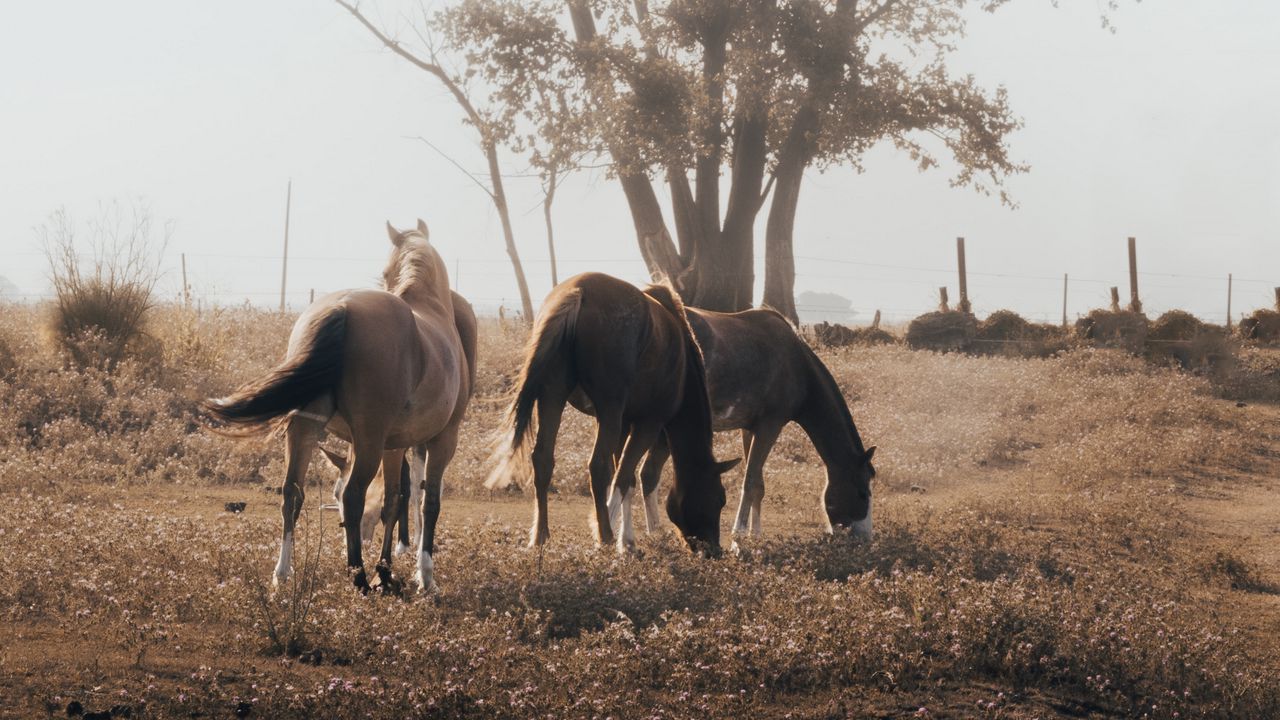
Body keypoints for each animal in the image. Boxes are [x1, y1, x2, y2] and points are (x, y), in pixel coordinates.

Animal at [204, 221, 476, 591]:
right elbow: (428, 502)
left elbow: (393, 500)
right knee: (353, 495)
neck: (431, 306)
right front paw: (424, 577)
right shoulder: (443, 438)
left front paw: (386, 571)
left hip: (306, 429)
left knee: (292, 493)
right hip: (369, 441)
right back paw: (357, 576)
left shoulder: (394, 445)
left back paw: (284, 574)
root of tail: (343, 307)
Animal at [483, 271, 742, 550]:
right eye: (720, 498)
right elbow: (624, 474)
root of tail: (578, 292)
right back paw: (605, 535)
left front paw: (625, 538)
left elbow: (627, 479)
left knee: (543, 459)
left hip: (552, 396)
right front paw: (616, 536)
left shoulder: (624, 424)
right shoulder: (647, 423)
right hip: (609, 410)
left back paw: (540, 535)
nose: (714, 550)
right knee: (599, 466)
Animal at [614, 303, 875, 543]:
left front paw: (754, 533)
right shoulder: (770, 426)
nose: (865, 537)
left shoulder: (750, 429)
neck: (796, 363)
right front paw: (738, 534)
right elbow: (750, 481)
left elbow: (757, 483)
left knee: (646, 474)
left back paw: (653, 532)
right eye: (862, 493)